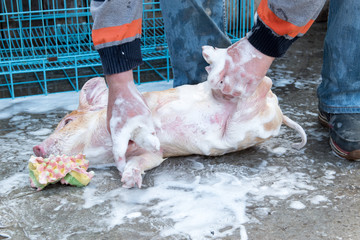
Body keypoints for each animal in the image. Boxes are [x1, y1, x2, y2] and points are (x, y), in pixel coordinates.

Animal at [32, 47, 306, 189]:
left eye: (67, 122)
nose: (36, 147)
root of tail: (279, 112)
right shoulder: (152, 156)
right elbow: (142, 160)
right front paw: (130, 181)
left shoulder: (145, 107)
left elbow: (149, 115)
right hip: (240, 128)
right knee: (261, 84)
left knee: (260, 80)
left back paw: (210, 58)